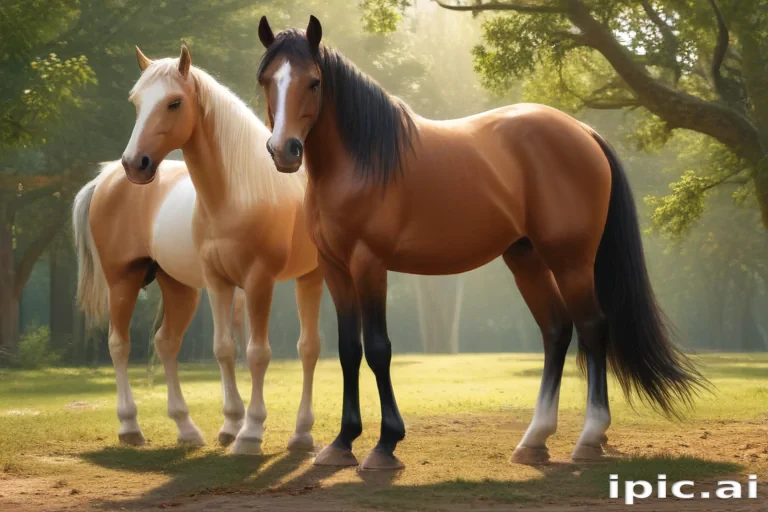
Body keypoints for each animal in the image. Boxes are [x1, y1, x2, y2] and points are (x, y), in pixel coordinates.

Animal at [73, 158, 248, 446]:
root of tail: (105, 177)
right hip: (123, 282)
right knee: (119, 344)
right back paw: (130, 426)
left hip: (180, 288)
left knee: (165, 342)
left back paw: (186, 427)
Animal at [120, 44, 322, 455]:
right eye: (136, 101)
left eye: (174, 102)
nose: (134, 164)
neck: (236, 194)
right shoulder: (217, 281)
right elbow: (224, 349)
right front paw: (231, 426)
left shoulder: (259, 281)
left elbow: (257, 353)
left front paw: (250, 433)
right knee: (307, 348)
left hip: (318, 275)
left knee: (315, 348)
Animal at [254, 16, 707, 470]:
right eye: (266, 80)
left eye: (314, 82)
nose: (284, 150)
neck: (360, 161)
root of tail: (583, 131)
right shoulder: (335, 268)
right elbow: (349, 349)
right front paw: (342, 443)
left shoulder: (370, 264)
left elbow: (378, 349)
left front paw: (386, 445)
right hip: (526, 259)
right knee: (556, 330)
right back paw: (534, 440)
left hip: (571, 261)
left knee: (593, 328)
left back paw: (589, 438)